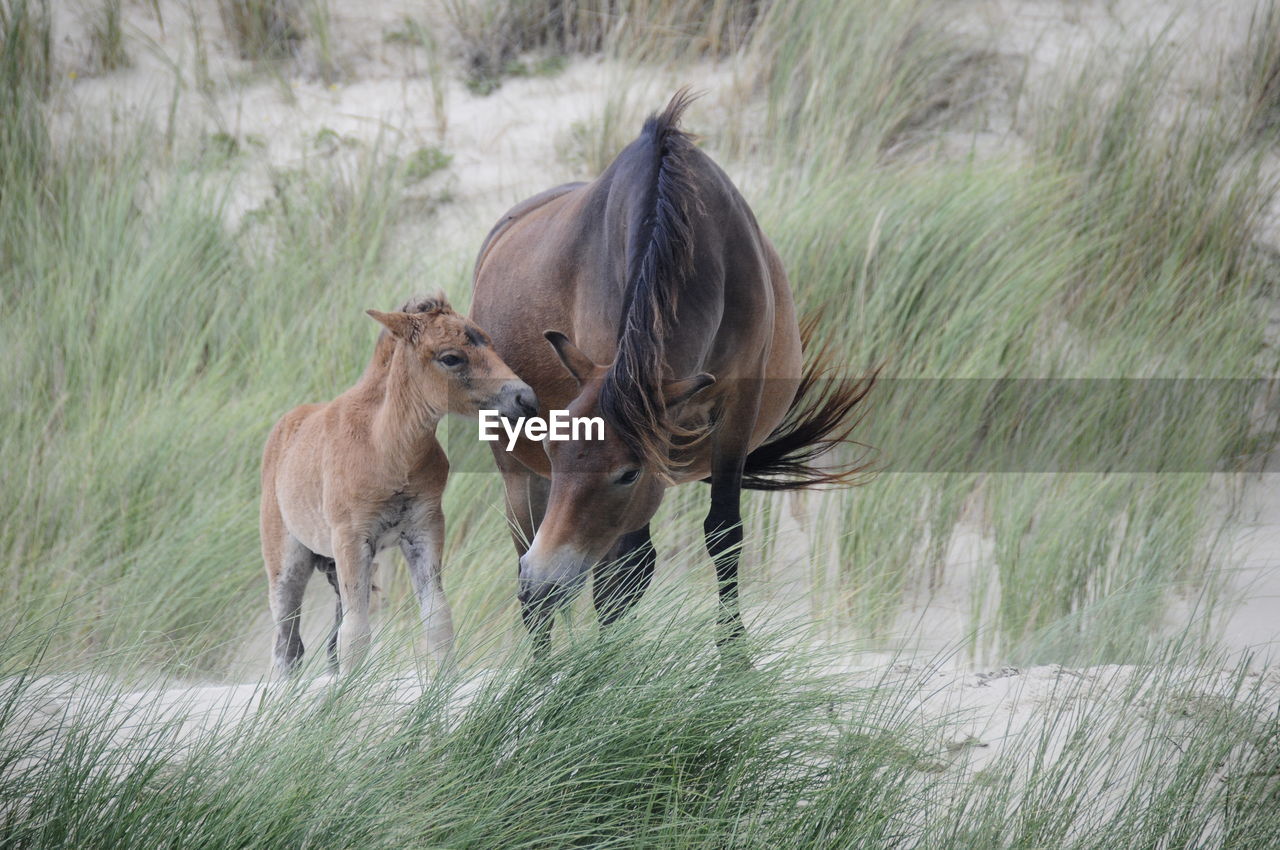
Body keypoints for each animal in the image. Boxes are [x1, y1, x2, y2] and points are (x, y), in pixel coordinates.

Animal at [471, 92, 870, 650]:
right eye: (552, 447)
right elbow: (620, 578)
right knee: (548, 583)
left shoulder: (734, 414)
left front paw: (734, 658)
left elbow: (723, 533)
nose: (543, 580)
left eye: (627, 472)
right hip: (518, 481)